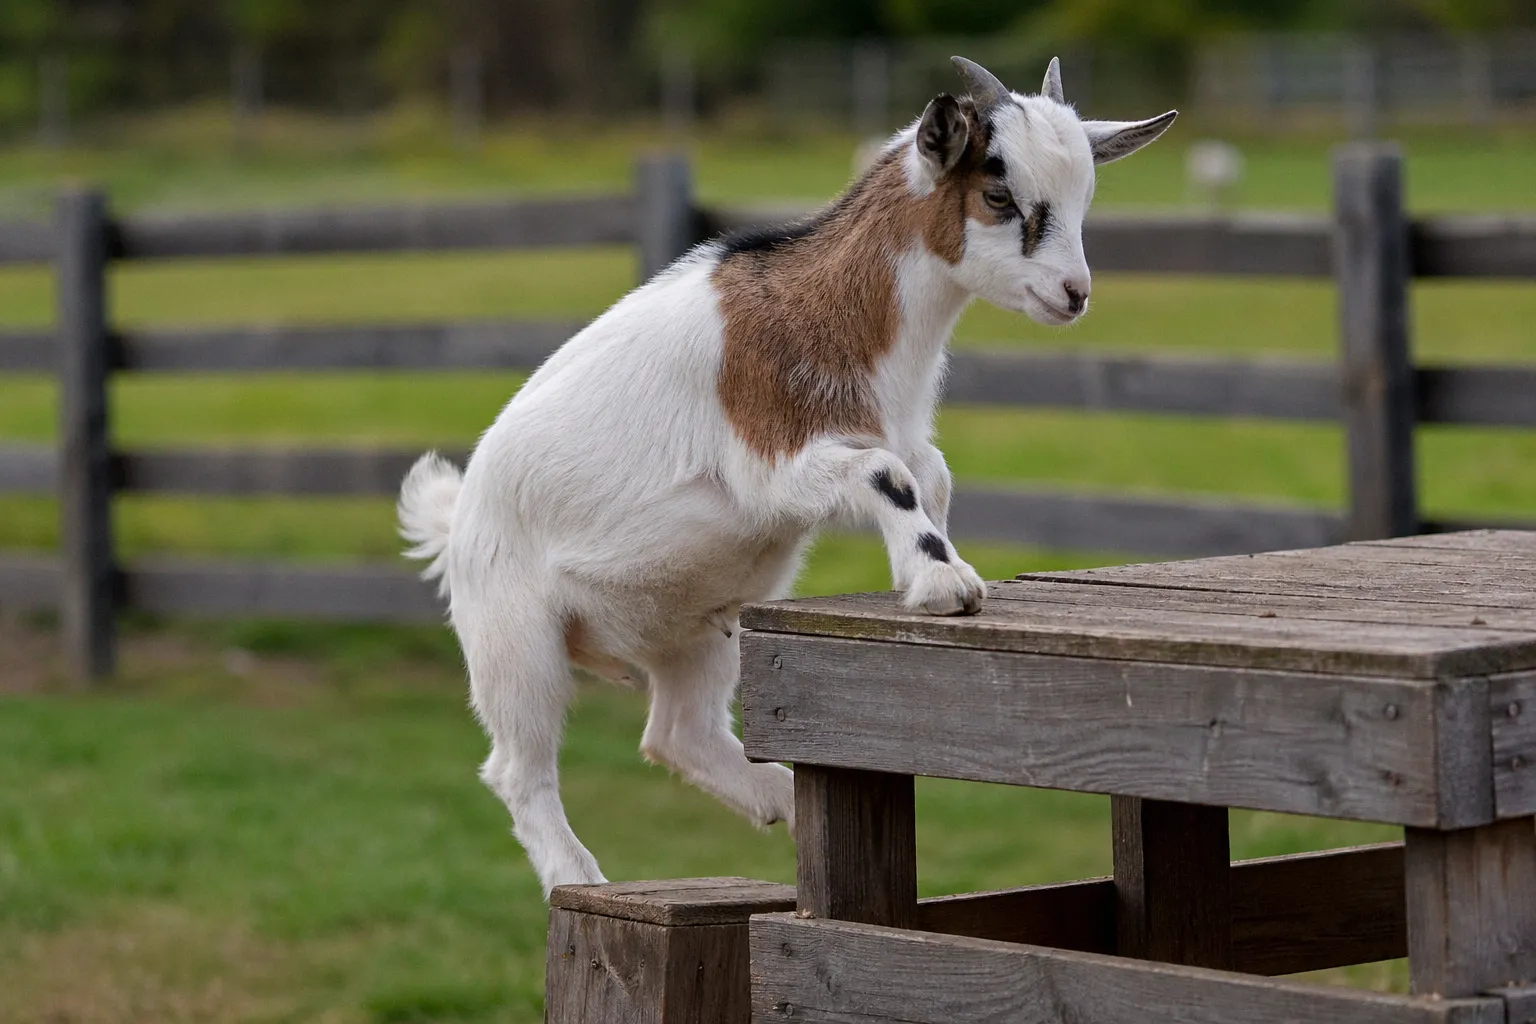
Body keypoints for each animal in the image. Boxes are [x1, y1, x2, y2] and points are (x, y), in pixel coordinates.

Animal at [398, 56, 1175, 895]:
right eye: (999, 197)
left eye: (1084, 199)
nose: (1074, 294)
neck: (828, 311)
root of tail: (455, 517)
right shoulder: (769, 466)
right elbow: (889, 474)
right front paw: (944, 586)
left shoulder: (895, 438)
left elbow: (930, 476)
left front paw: (931, 566)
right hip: (513, 638)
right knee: (519, 767)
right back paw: (578, 876)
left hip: (699, 627)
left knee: (677, 733)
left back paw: (781, 800)